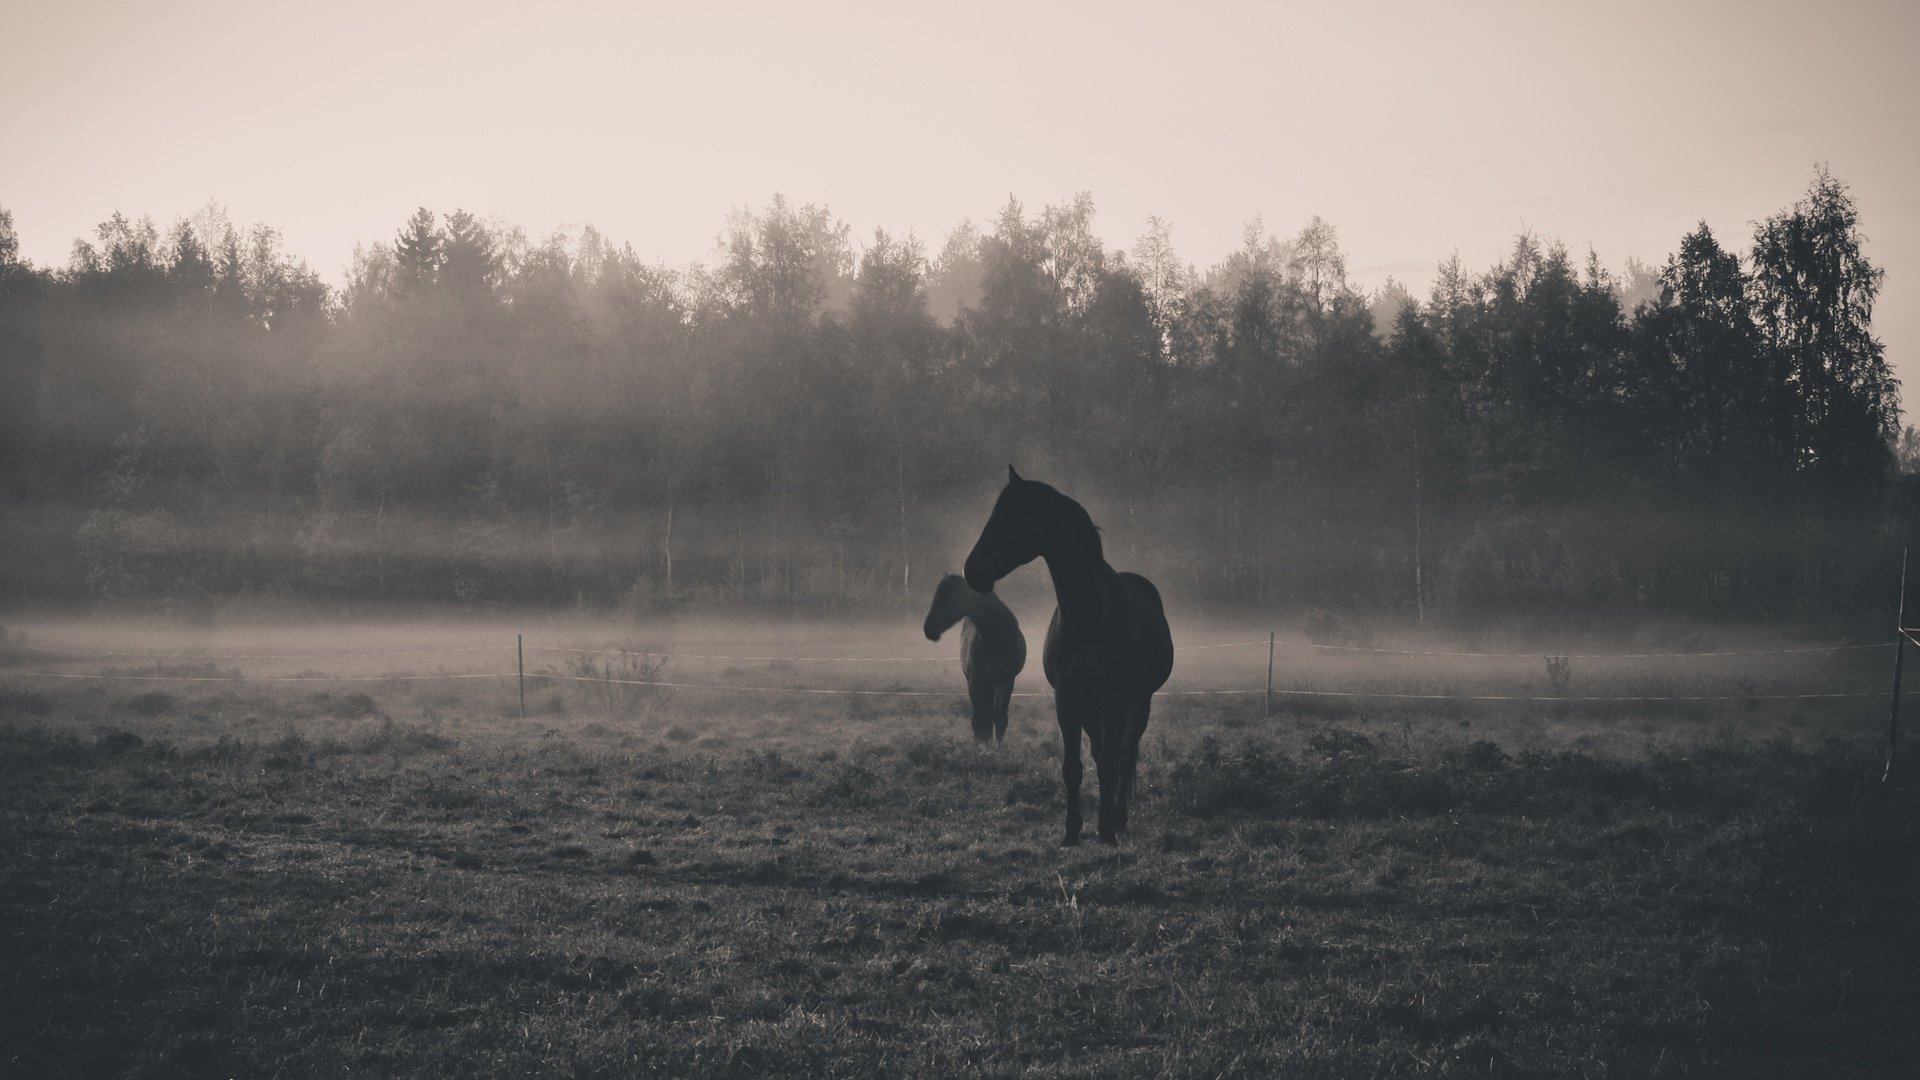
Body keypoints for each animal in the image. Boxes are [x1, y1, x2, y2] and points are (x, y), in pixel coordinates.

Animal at [921, 572, 1029, 737]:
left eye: (945, 597)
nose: (928, 629)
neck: (996, 637)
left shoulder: (1007, 680)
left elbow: (1000, 720)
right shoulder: (975, 680)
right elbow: (980, 721)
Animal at [960, 463, 1167, 841]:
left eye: (1011, 516)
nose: (972, 570)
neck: (1089, 615)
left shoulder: (1116, 700)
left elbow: (1111, 762)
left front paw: (1106, 832)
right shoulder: (1068, 698)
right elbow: (1073, 766)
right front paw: (1072, 831)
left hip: (1138, 701)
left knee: (1124, 754)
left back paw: (1118, 817)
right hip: (1091, 705)